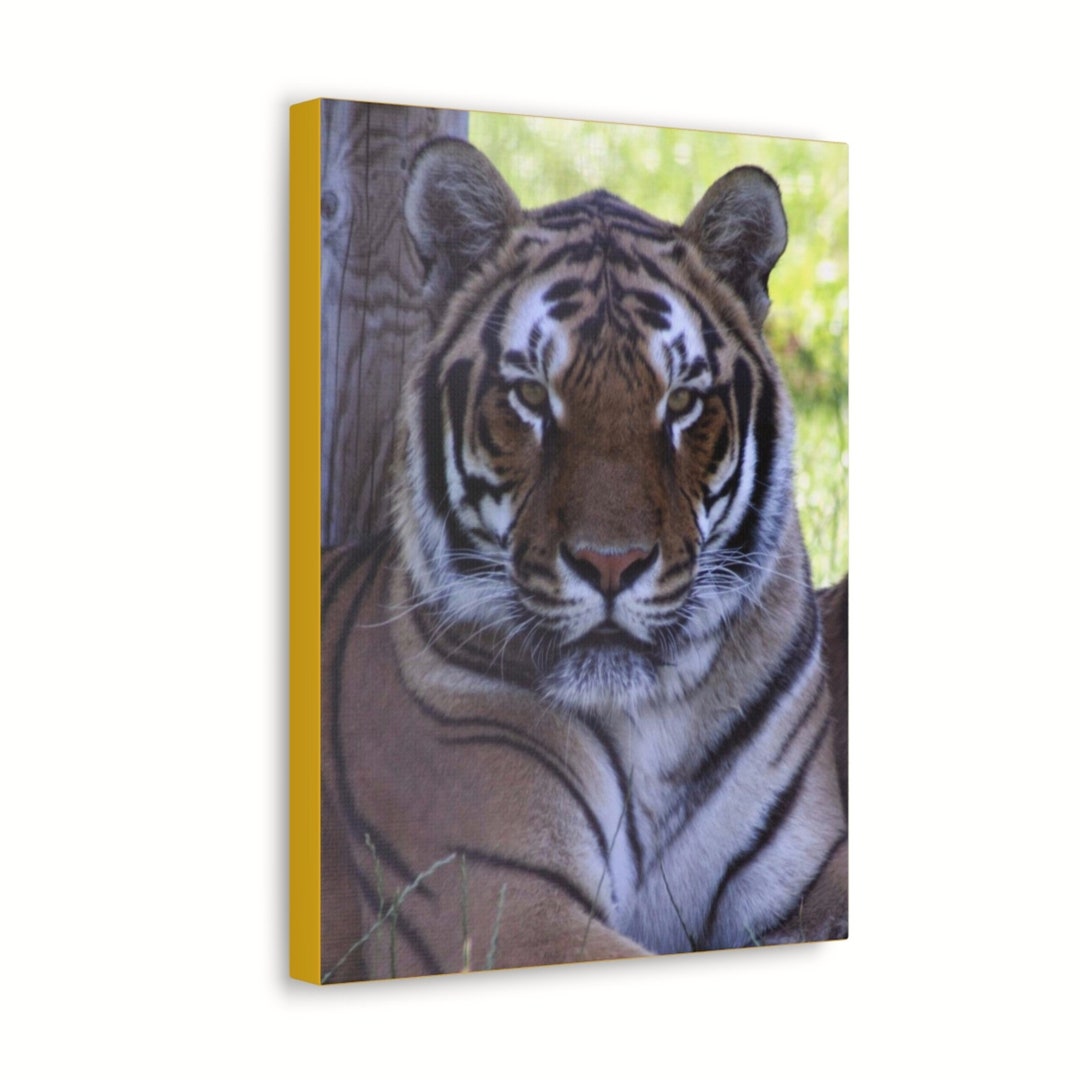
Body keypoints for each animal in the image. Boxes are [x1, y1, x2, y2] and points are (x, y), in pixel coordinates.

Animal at [321, 137, 848, 982]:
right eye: (533, 397)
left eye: (680, 402)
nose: (611, 563)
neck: (649, 725)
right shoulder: (502, 904)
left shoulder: (808, 871)